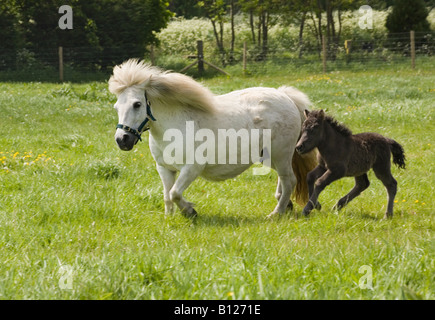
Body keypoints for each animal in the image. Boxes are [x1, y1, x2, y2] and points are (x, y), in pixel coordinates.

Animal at [109, 59, 316, 219]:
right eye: (116, 106)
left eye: (137, 104)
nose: (122, 140)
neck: (175, 126)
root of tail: (285, 96)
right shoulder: (165, 168)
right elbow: (167, 195)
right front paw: (170, 217)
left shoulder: (192, 168)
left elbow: (175, 193)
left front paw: (190, 211)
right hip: (269, 157)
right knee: (284, 180)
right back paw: (286, 206)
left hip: (280, 154)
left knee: (289, 180)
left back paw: (276, 213)